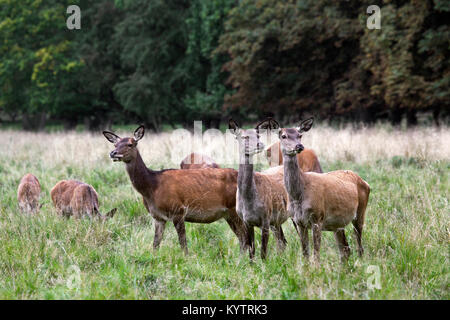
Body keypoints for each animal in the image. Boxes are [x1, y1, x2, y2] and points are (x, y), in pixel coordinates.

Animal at [102, 126, 248, 254]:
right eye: (115, 144)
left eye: (130, 144)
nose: (113, 153)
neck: (152, 188)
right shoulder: (158, 217)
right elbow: (155, 244)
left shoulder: (178, 210)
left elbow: (183, 243)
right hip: (228, 214)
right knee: (242, 238)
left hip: (235, 209)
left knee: (245, 238)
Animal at [229, 119, 288, 258]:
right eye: (244, 136)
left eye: (258, 135)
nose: (259, 144)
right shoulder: (246, 221)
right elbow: (252, 250)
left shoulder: (265, 218)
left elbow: (263, 252)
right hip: (276, 221)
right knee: (282, 241)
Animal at [278, 117, 370, 262]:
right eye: (283, 136)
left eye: (300, 135)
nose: (299, 146)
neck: (298, 195)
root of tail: (365, 182)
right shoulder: (299, 222)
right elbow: (305, 254)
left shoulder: (317, 217)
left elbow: (316, 255)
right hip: (338, 223)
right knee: (345, 249)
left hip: (360, 211)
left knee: (359, 246)